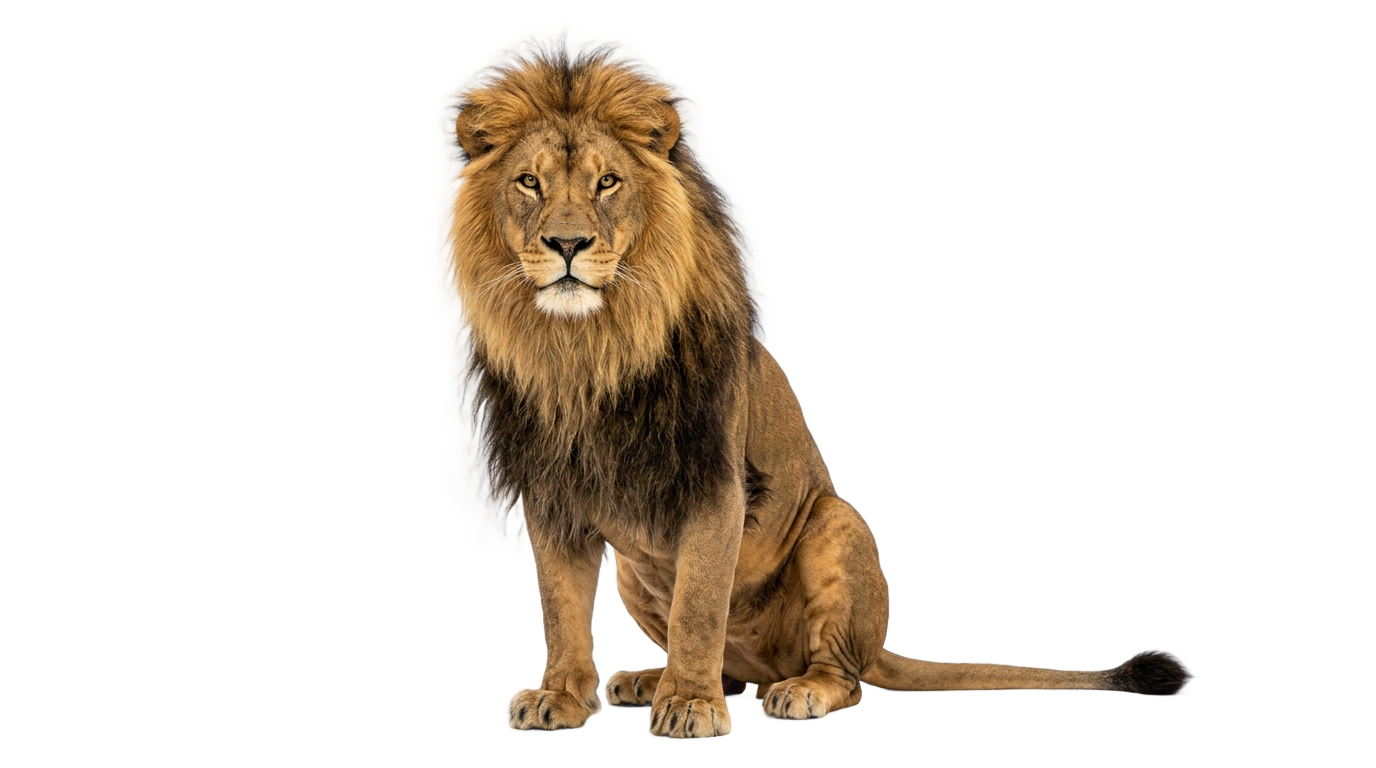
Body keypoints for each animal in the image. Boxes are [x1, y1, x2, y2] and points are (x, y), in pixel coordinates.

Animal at [447, 46, 1186, 738]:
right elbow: (562, 610)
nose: (567, 244)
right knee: (734, 666)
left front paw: (688, 706)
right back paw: (652, 680)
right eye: (529, 182)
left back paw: (787, 689)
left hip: (836, 525)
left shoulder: (714, 484)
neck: (587, 351)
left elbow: (698, 608)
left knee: (842, 676)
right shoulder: (554, 495)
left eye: (607, 183)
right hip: (640, 574)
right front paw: (564, 696)